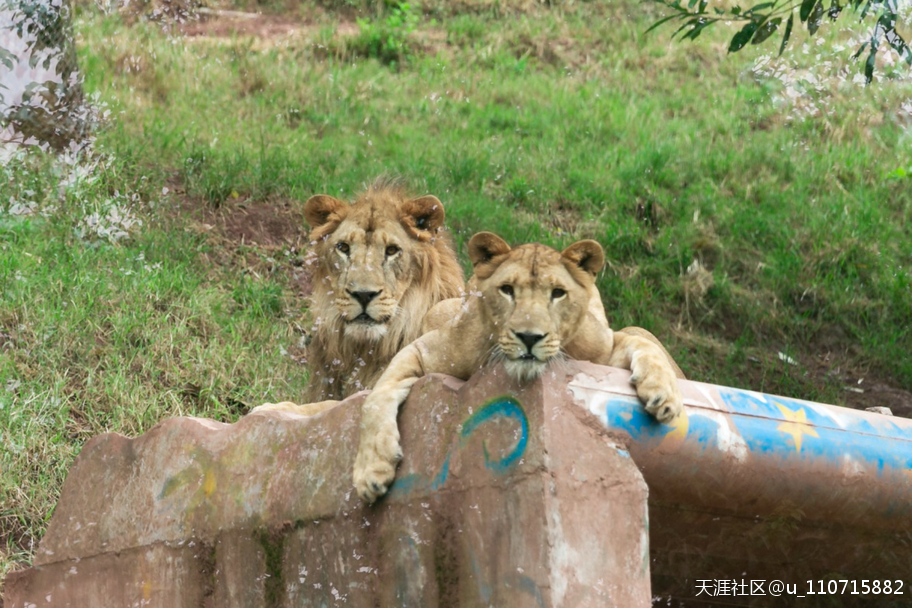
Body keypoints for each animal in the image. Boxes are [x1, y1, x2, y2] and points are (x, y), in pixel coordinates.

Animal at [253, 177, 464, 414]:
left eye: (392, 250)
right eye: (343, 247)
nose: (363, 295)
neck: (367, 350)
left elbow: (325, 407)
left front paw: (272, 408)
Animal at [354, 230, 684, 502]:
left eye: (557, 293)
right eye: (507, 290)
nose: (529, 337)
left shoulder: (604, 345)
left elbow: (645, 347)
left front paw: (664, 396)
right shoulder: (425, 349)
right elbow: (376, 397)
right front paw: (371, 470)